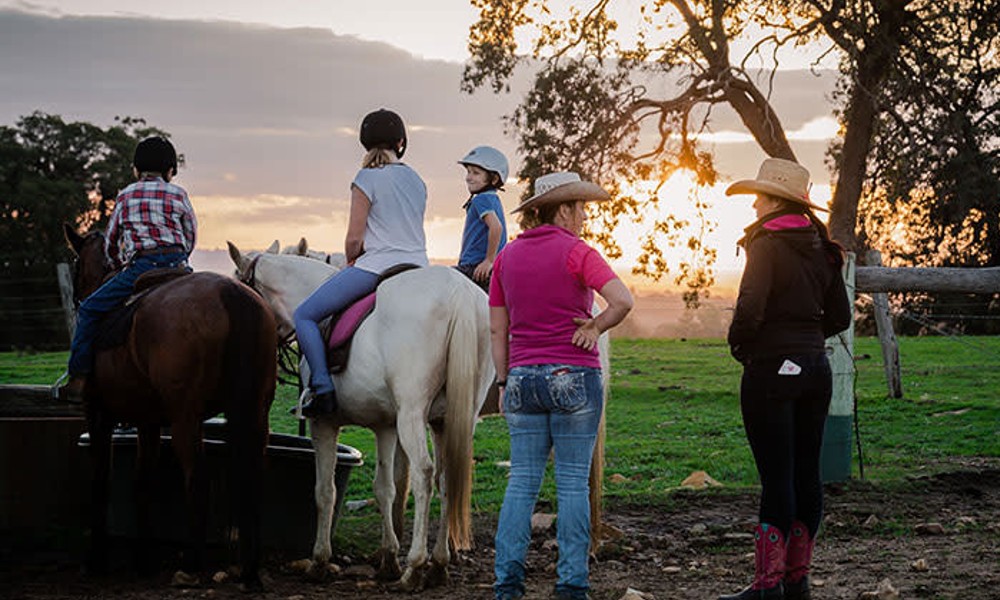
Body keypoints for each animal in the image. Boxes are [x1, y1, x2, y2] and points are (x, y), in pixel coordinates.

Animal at [66, 226, 278, 592]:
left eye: (77, 265)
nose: (79, 300)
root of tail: (229, 294)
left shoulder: (98, 414)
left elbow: (102, 482)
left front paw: (97, 561)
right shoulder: (148, 422)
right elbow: (142, 483)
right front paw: (143, 561)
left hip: (185, 419)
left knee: (198, 481)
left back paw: (193, 567)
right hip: (255, 414)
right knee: (252, 480)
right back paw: (250, 571)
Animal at [227, 241, 492, 588]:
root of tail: (458, 290)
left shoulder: (323, 424)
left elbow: (325, 492)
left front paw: (320, 560)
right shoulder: (386, 427)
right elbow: (385, 489)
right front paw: (388, 558)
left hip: (412, 415)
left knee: (424, 474)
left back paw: (415, 566)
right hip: (449, 420)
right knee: (447, 478)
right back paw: (438, 564)